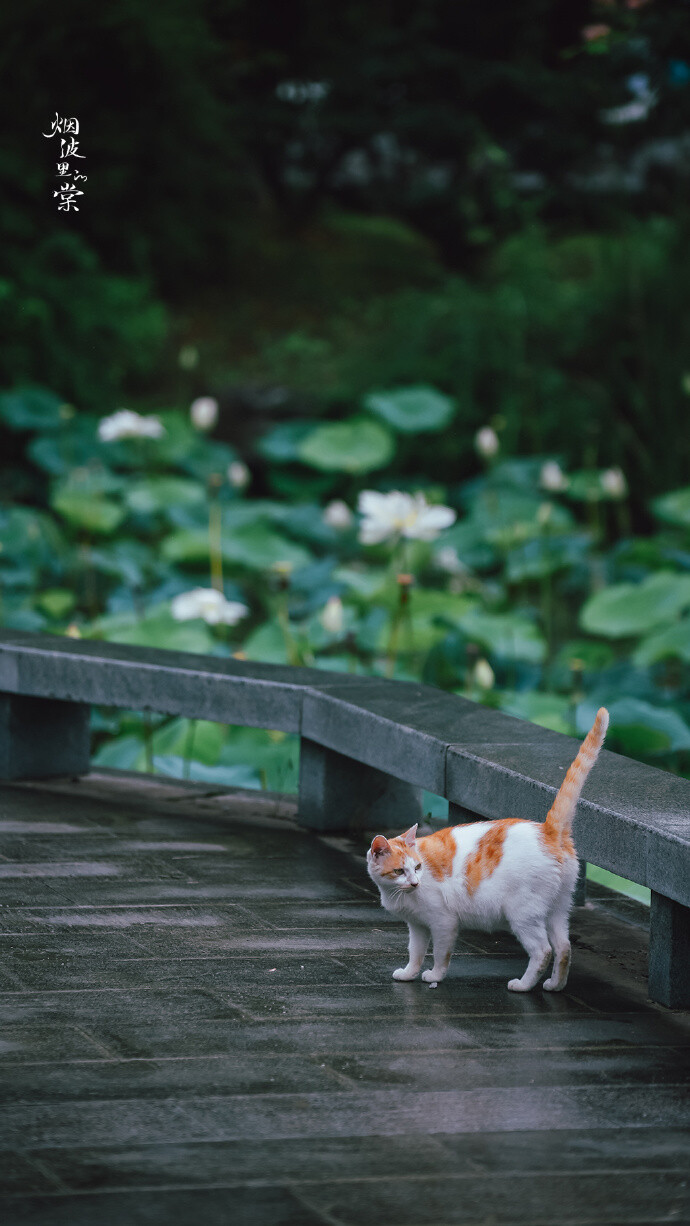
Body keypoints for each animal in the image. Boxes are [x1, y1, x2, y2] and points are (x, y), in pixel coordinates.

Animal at [367, 706, 610, 990]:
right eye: (400, 871)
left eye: (417, 867)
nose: (415, 882)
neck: (398, 894)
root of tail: (547, 830)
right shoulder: (417, 926)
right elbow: (415, 952)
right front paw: (408, 974)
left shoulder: (443, 922)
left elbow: (440, 953)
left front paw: (435, 976)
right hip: (558, 908)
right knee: (564, 948)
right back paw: (555, 986)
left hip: (523, 914)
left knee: (543, 951)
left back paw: (523, 986)